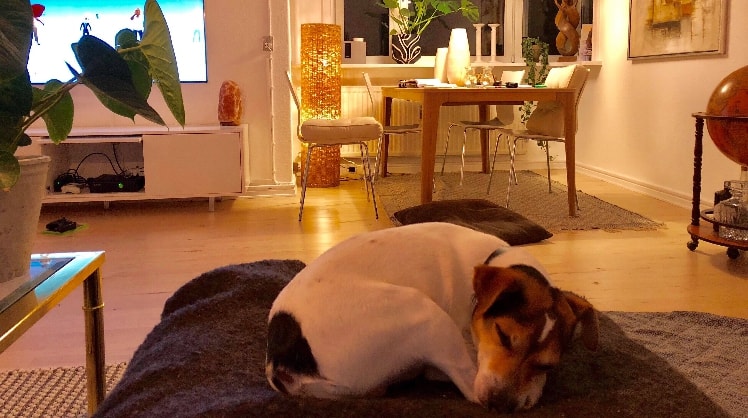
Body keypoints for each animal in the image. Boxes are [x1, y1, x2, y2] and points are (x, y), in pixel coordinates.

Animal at [265, 222, 598, 412]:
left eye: (547, 364)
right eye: (503, 336)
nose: (500, 405)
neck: (493, 259)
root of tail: (281, 364)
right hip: (425, 314)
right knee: (466, 384)